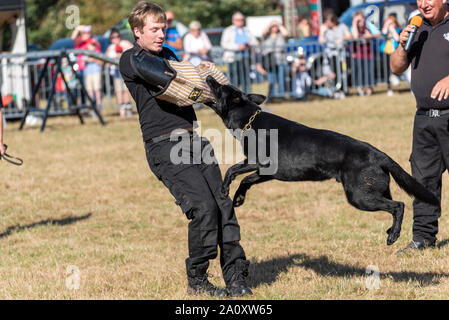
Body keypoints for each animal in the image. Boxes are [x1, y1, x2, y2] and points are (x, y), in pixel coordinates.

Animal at [206, 75, 438, 245]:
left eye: (220, 87)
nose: (209, 76)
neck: (249, 120)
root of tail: (380, 154)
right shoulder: (267, 173)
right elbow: (246, 180)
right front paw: (238, 198)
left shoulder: (258, 163)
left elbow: (232, 170)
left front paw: (224, 191)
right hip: (374, 191)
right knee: (393, 205)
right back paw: (391, 230)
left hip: (359, 197)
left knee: (399, 205)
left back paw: (393, 235)